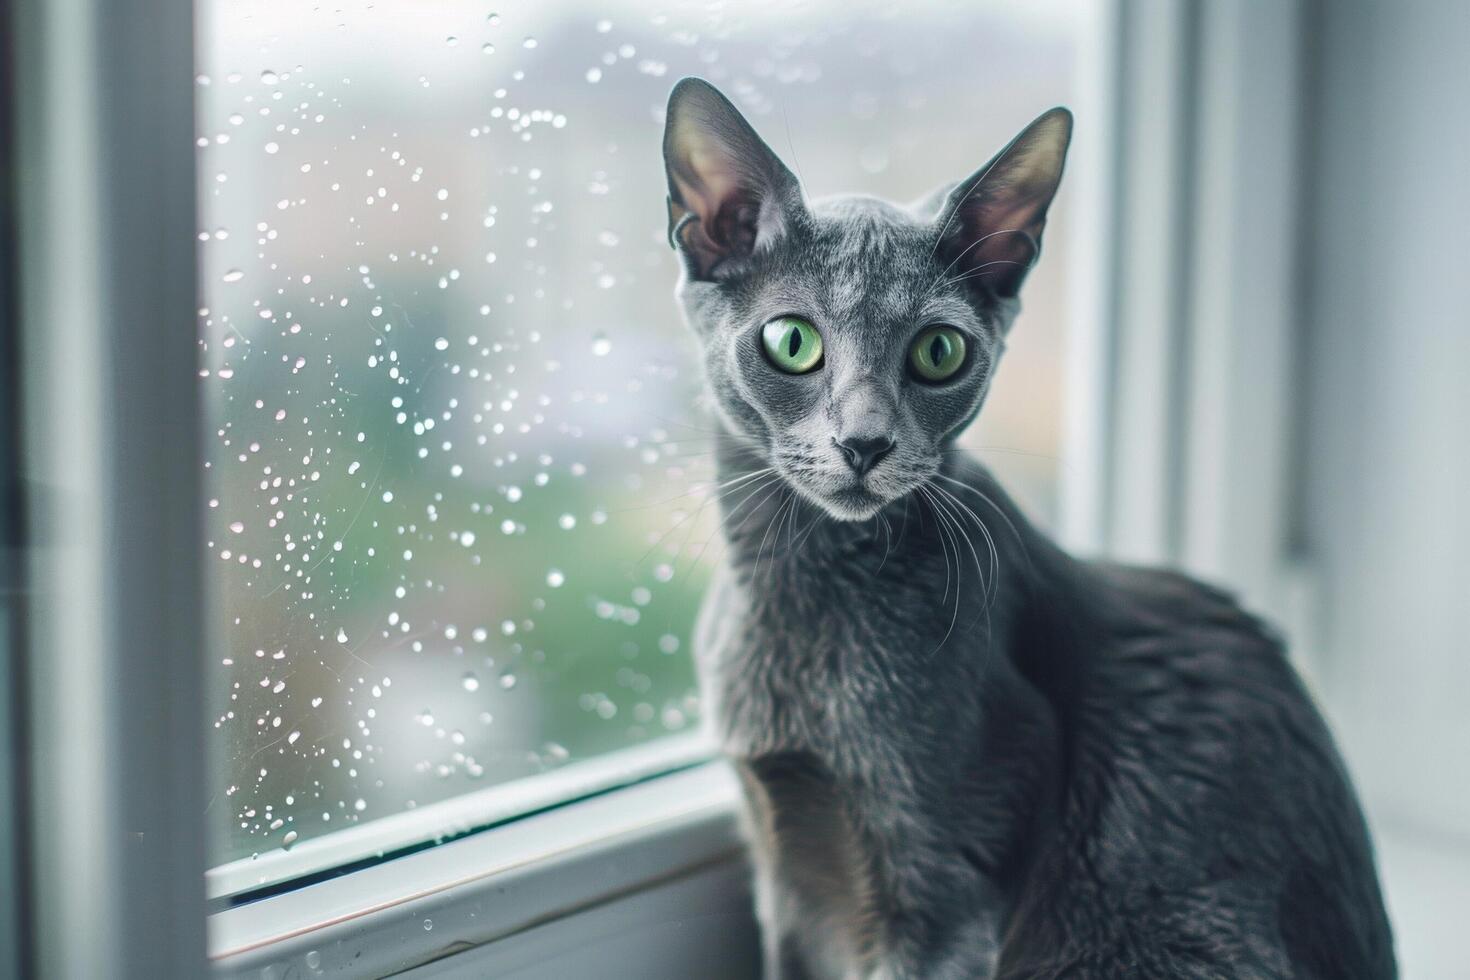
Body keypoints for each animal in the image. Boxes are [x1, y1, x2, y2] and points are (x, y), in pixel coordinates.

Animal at [661, 78, 1393, 980]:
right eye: (792, 341)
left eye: (939, 352)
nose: (865, 443)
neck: (798, 595)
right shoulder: (784, 878)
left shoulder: (949, 882)